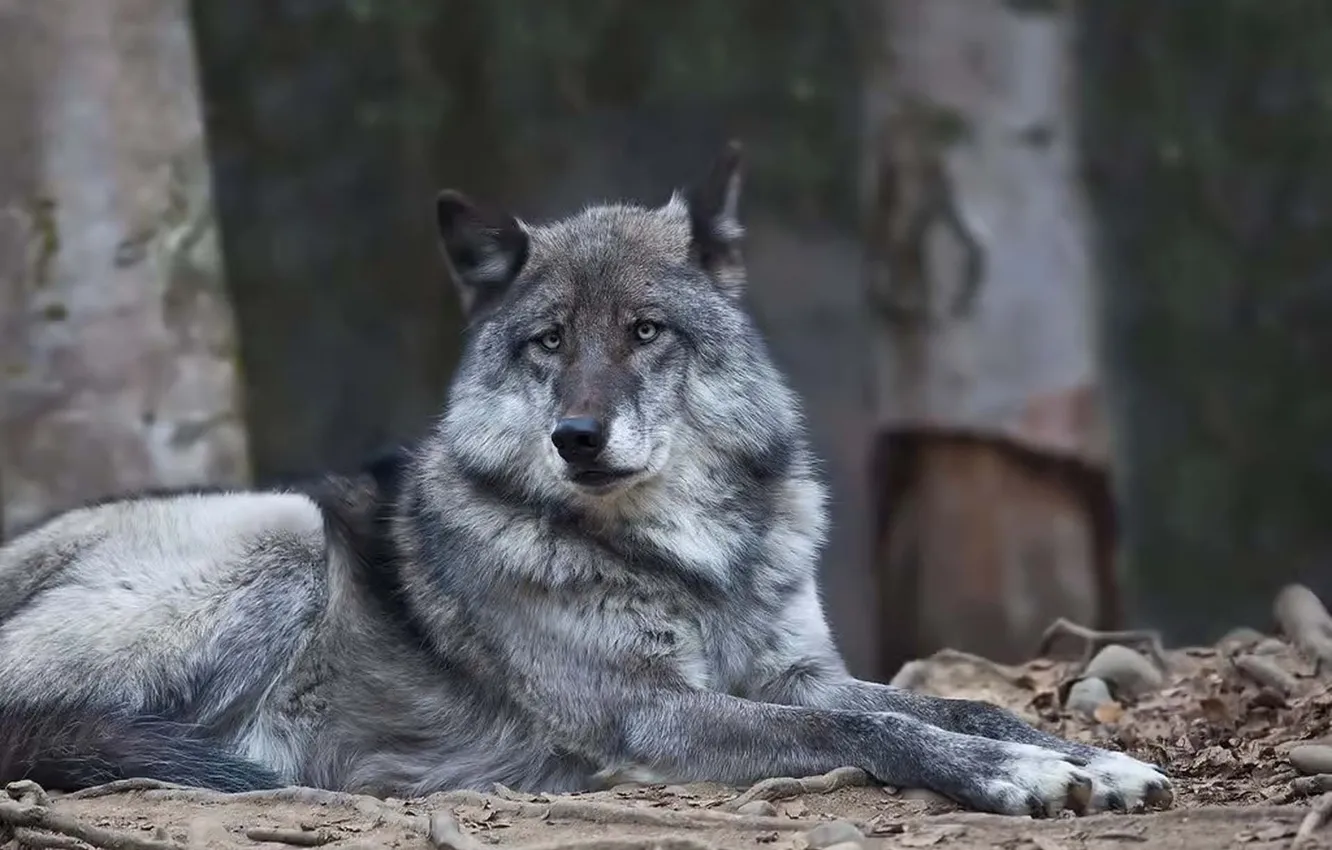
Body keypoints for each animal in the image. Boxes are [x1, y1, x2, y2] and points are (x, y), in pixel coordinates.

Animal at [0, 143, 1171, 817]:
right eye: (551, 341)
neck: (694, 559)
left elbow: (959, 703)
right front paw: (1019, 780)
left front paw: (1088, 759)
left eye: (645, 332)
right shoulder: (651, 713)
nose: (576, 436)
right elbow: (871, 730)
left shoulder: (793, 673)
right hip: (279, 527)